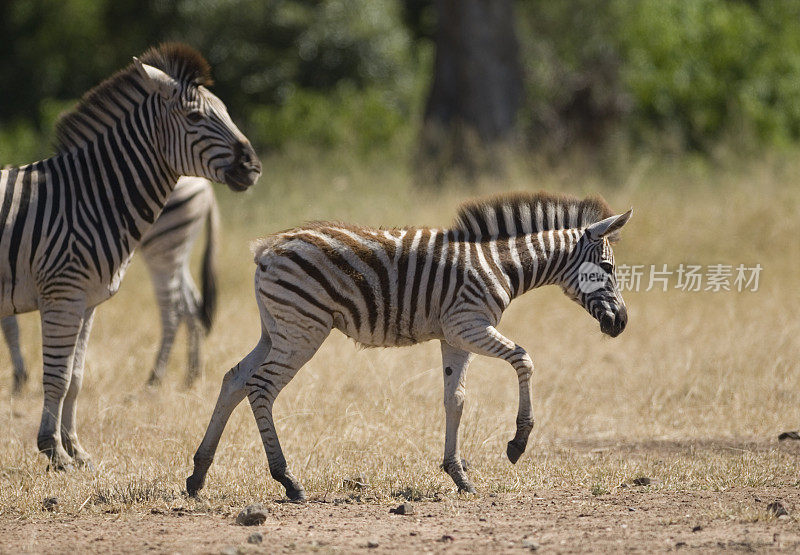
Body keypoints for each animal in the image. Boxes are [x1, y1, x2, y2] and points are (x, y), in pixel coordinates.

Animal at [3, 176, 219, 394]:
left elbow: (9, 326)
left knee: (173, 311)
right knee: (192, 305)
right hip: (176, 254)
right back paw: (192, 374)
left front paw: (19, 378)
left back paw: (155, 378)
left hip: (162, 248)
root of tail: (207, 188)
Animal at [188, 191, 632, 500]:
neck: (501, 264)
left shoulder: (455, 336)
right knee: (261, 387)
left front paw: (459, 475)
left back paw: (198, 474)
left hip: (277, 329)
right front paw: (517, 443)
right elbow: (524, 359)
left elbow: (455, 398)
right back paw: (288, 480)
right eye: (608, 268)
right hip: (303, 329)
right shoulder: (469, 324)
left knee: (234, 379)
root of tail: (267, 248)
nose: (622, 324)